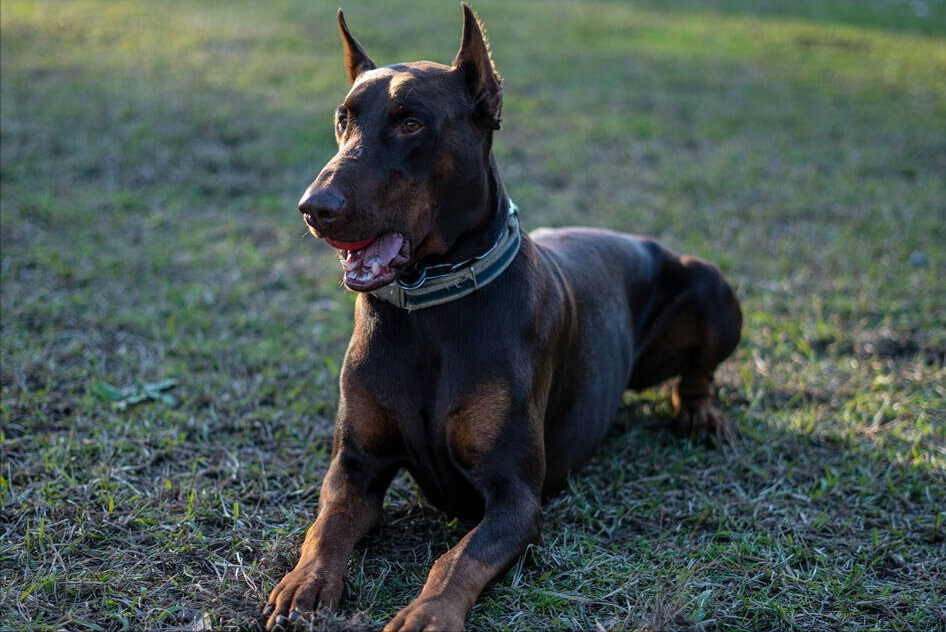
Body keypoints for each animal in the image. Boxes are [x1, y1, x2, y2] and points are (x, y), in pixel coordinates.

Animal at [262, 3, 740, 628]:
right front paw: (306, 581)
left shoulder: (515, 496)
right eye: (343, 120)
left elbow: (456, 559)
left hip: (708, 282)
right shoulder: (356, 464)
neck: (431, 311)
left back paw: (700, 413)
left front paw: (429, 612)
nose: (314, 208)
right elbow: (328, 524)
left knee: (699, 375)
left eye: (411, 124)